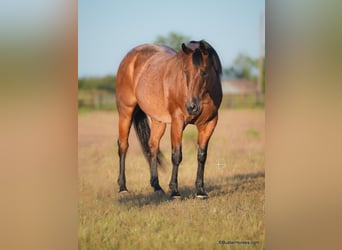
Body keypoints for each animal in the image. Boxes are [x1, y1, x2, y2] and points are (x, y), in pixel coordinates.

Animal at [115, 39, 222, 199]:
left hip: (158, 121)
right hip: (125, 112)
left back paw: (157, 186)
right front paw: (175, 191)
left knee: (152, 145)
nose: (191, 106)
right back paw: (123, 187)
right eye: (185, 72)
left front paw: (200, 191)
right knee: (123, 146)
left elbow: (202, 156)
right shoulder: (178, 121)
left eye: (204, 72)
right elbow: (177, 155)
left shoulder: (209, 124)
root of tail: (129, 58)